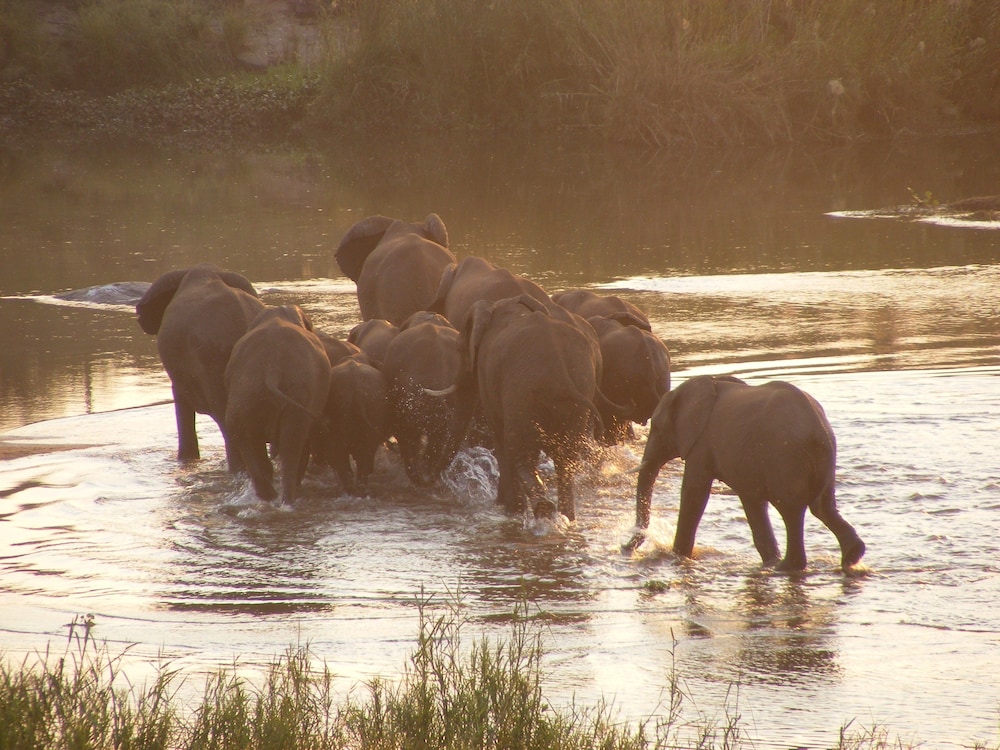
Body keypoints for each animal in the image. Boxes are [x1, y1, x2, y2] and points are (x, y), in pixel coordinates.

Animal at [224, 305, 332, 504]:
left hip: (245, 395)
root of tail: (272, 369)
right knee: (292, 444)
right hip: (293, 394)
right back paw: (286, 499)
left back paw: (272, 499)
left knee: (251, 443)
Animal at [319, 357, 391, 495]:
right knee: (363, 455)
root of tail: (357, 392)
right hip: (373, 409)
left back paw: (352, 490)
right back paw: (357, 490)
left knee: (343, 455)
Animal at [627, 375, 866, 572]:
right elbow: (752, 500)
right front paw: (768, 560)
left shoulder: (701, 444)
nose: (626, 548)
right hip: (823, 457)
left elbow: (694, 492)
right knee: (823, 506)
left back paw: (786, 567)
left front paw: (677, 556)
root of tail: (817, 427)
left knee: (791, 510)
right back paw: (851, 556)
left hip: (785, 458)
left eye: (656, 428)